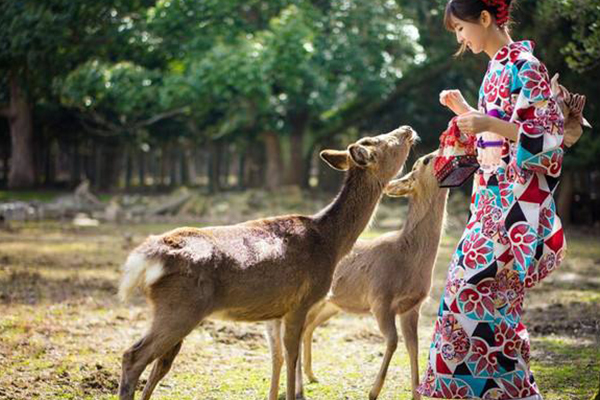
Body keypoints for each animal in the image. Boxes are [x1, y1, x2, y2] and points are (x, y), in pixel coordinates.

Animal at [116, 126, 418, 400]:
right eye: (384, 142)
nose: (407, 129)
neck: (331, 243)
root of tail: (144, 257)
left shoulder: (275, 310)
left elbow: (278, 358)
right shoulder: (301, 301)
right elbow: (292, 356)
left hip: (175, 309)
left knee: (160, 364)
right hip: (180, 307)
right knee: (133, 356)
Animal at [266, 151, 446, 400]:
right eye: (425, 160)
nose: (441, 151)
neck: (407, 258)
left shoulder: (412, 306)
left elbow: (414, 346)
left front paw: (415, 394)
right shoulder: (380, 297)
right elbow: (393, 341)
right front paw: (373, 391)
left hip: (329, 305)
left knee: (308, 328)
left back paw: (312, 376)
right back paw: (301, 387)